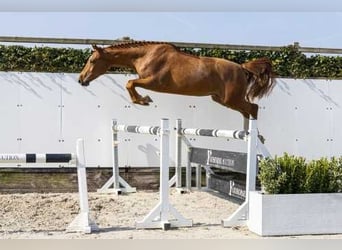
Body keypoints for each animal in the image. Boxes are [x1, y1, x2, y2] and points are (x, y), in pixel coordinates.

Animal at [78, 41, 276, 119]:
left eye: (92, 61)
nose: (81, 80)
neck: (145, 55)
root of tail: (242, 68)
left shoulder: (153, 82)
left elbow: (130, 83)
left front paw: (144, 100)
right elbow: (130, 84)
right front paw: (142, 100)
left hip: (231, 99)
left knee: (253, 108)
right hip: (221, 99)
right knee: (246, 111)